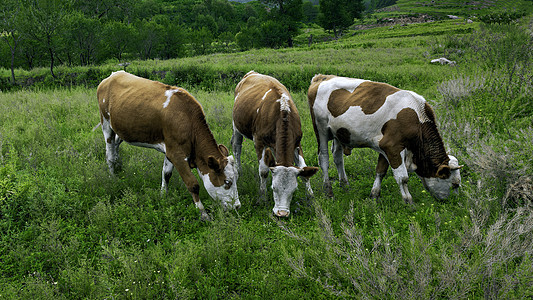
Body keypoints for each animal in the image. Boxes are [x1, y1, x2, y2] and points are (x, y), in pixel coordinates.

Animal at [96, 71, 240, 219]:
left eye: (236, 178)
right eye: (227, 182)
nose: (237, 206)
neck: (188, 121)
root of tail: (114, 74)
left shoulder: (170, 149)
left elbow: (166, 174)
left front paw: (163, 196)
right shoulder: (176, 154)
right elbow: (192, 184)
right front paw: (203, 214)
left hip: (122, 129)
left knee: (115, 146)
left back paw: (119, 166)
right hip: (105, 123)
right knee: (109, 154)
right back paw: (113, 176)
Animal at [232, 71, 316, 217]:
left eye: (294, 189)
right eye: (274, 187)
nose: (282, 213)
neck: (282, 113)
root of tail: (252, 73)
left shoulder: (297, 143)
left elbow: (304, 168)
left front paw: (310, 197)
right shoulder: (259, 141)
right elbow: (264, 171)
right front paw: (262, 197)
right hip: (236, 127)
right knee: (237, 148)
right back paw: (239, 171)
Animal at [308, 74, 462, 204]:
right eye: (454, 184)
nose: (455, 203)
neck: (417, 120)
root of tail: (321, 77)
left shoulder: (385, 147)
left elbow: (380, 171)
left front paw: (374, 195)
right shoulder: (392, 147)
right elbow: (403, 178)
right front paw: (409, 201)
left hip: (339, 133)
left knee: (338, 157)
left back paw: (345, 186)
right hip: (321, 130)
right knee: (324, 159)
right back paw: (329, 191)